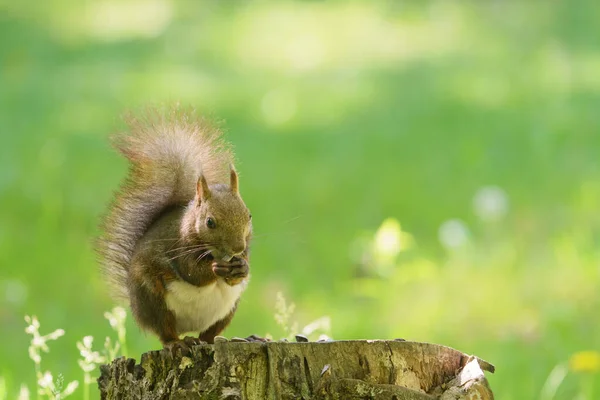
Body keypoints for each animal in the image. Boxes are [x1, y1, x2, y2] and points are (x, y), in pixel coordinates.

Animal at [97, 105, 252, 350]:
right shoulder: (178, 246)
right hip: (154, 299)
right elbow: (192, 272)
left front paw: (241, 268)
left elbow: (237, 276)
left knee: (208, 333)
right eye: (210, 222)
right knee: (165, 330)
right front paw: (214, 268)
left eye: (249, 215)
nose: (237, 248)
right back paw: (175, 343)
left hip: (227, 311)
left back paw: (209, 340)